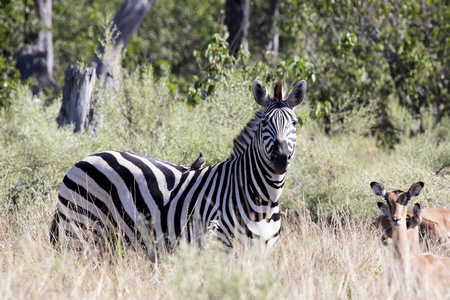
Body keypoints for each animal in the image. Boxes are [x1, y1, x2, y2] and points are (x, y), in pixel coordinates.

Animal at [51, 79, 308, 258]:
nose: (281, 158)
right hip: (80, 228)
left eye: (295, 123)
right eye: (265, 122)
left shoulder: (261, 250)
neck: (264, 197)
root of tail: (85, 158)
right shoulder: (223, 245)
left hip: (107, 238)